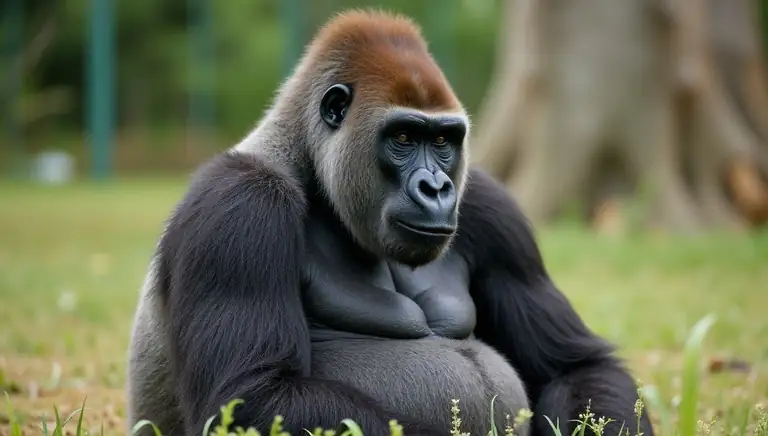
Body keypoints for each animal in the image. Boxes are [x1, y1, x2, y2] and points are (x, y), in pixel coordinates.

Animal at [126, 9, 653, 436]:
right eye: (403, 137)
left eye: (442, 141)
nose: (437, 188)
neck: (307, 165)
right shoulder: (238, 205)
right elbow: (254, 398)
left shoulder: (489, 205)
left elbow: (577, 365)